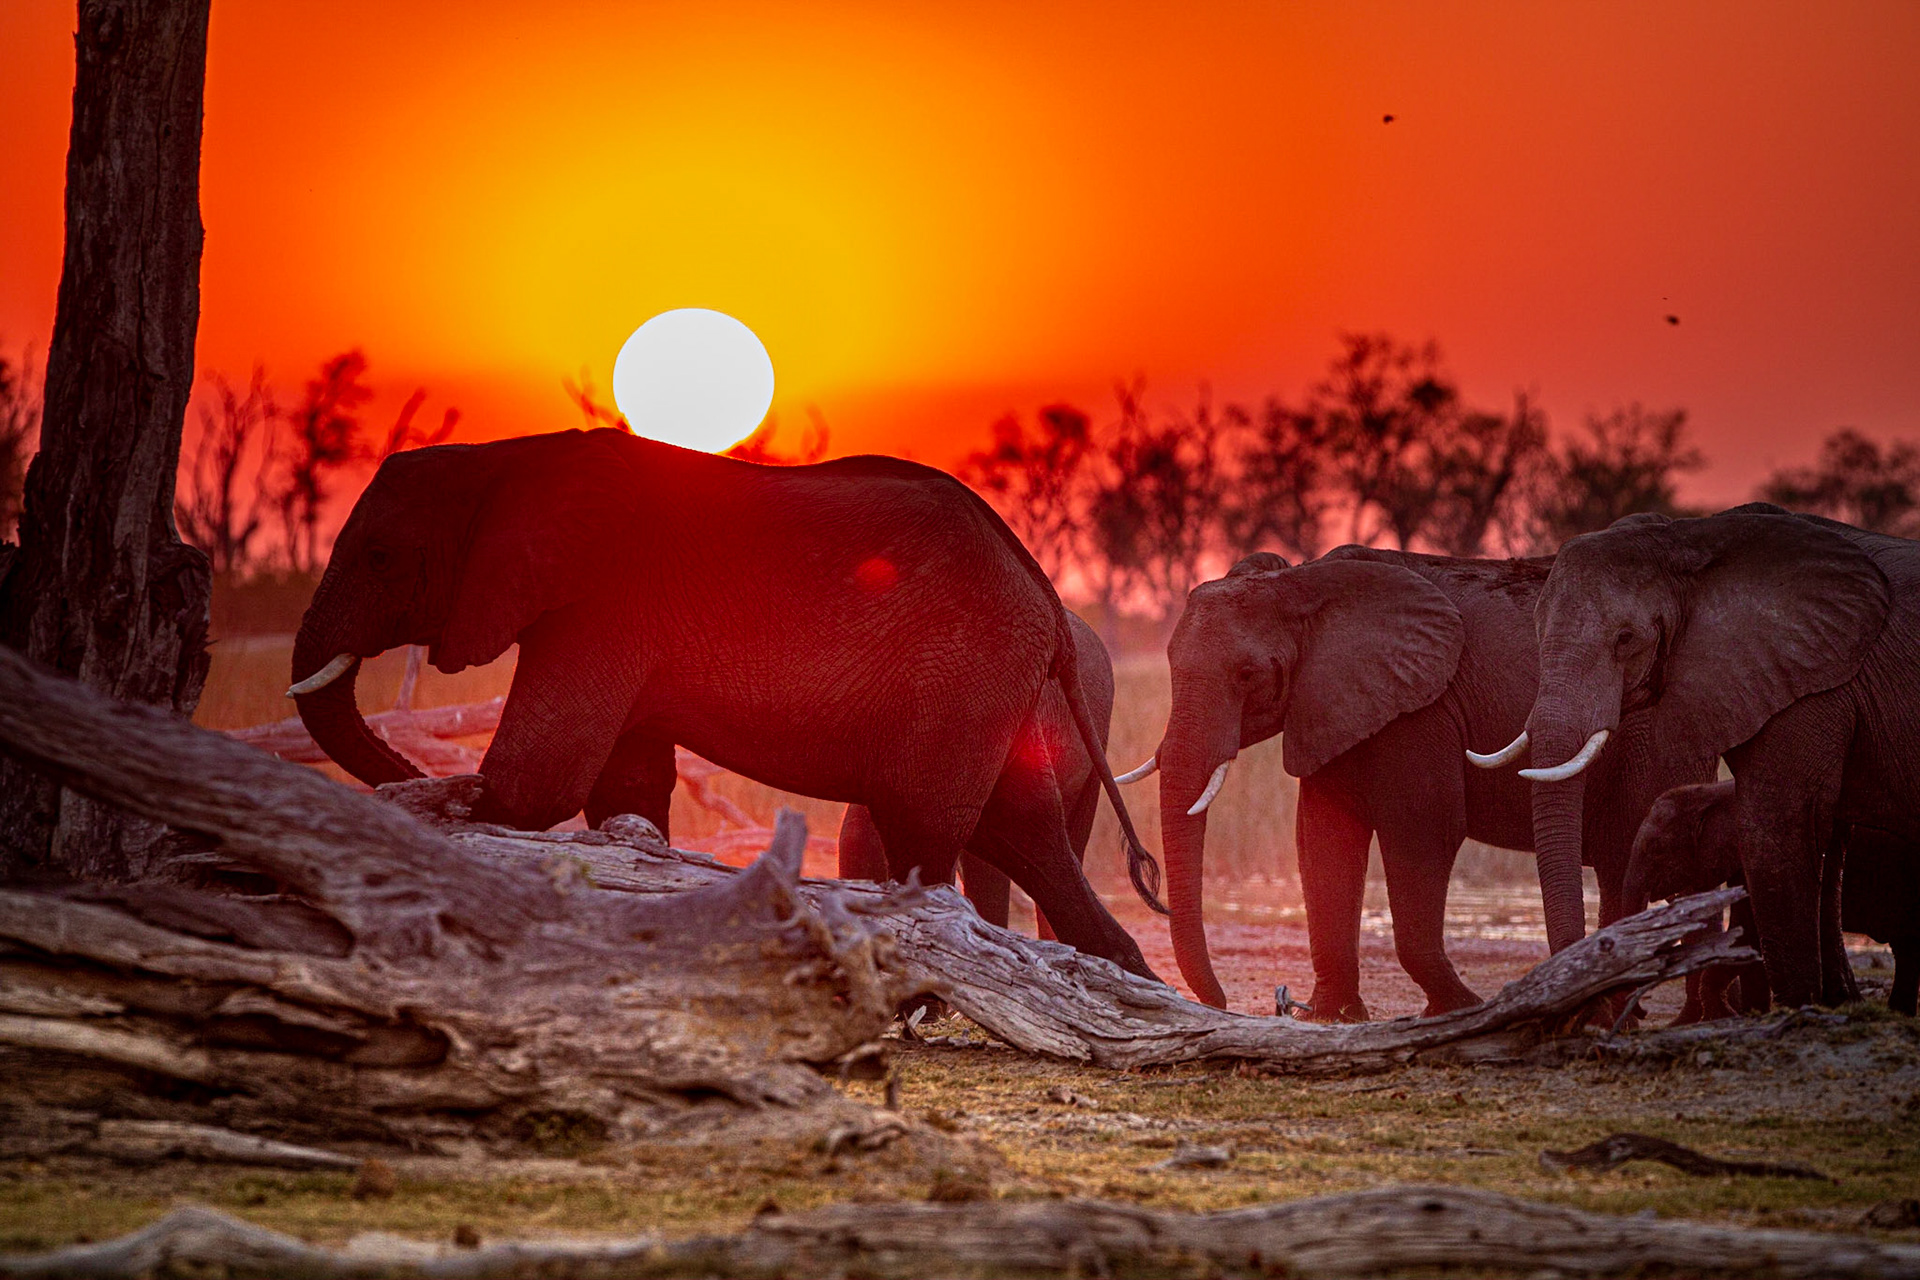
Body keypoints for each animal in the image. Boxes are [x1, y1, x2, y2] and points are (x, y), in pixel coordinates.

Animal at [1125, 546, 1715, 1016]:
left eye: (1248, 675)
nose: (1221, 1001)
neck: (1304, 583)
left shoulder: (1422, 709)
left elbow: (1423, 830)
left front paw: (1459, 1008)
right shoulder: (1331, 702)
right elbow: (1322, 839)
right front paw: (1333, 1016)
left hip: (1660, 735)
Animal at [1627, 779, 1917, 1015]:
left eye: (1656, 850)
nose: (1643, 1012)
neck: (1709, 792)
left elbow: (1748, 931)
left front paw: (1728, 1015)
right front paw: (1748, 1014)